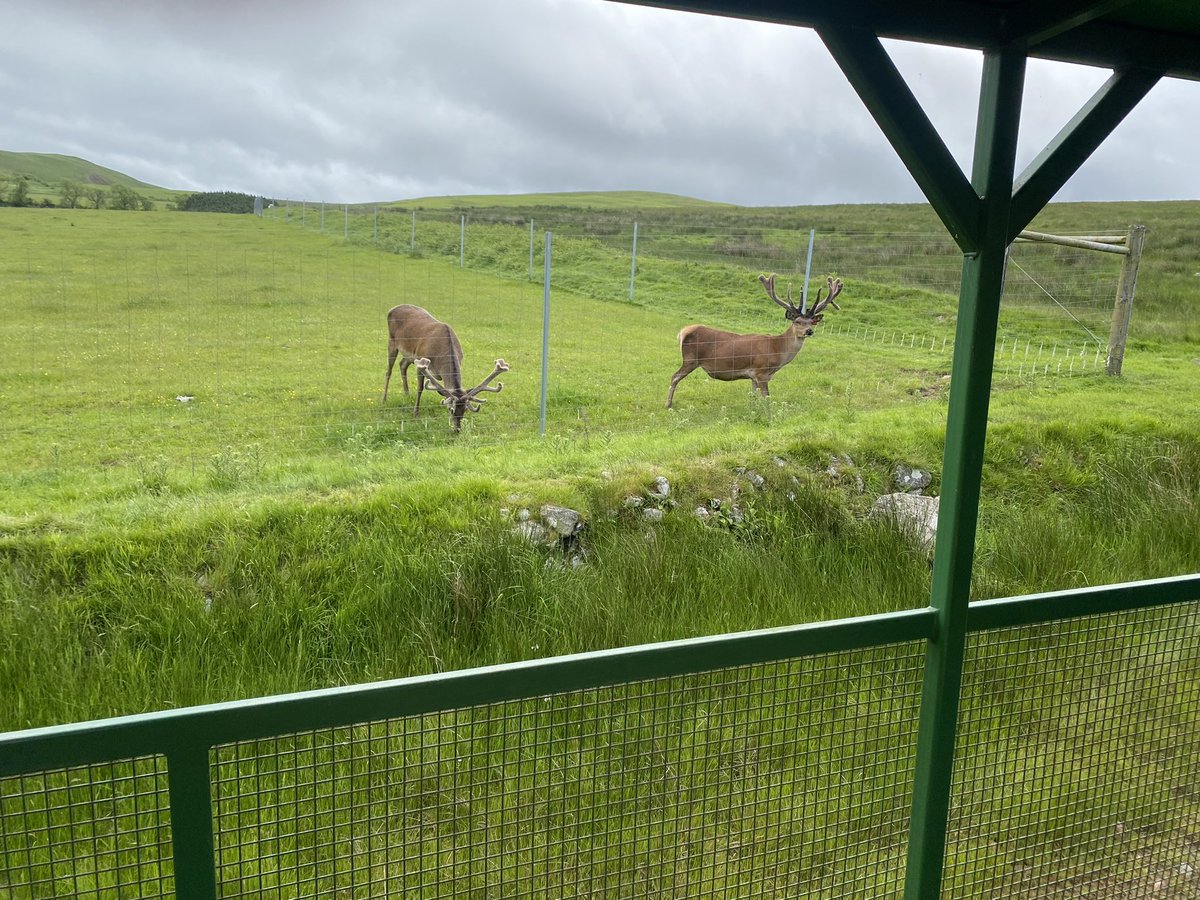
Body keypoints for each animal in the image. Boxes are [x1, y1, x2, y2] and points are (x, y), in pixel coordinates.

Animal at [382, 304, 509, 432]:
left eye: (465, 409)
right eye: (450, 409)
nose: (457, 429)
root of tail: (393, 308)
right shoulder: (420, 361)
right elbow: (420, 388)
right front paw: (416, 413)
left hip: (409, 356)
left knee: (402, 364)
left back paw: (407, 395)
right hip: (392, 341)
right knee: (389, 371)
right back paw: (384, 400)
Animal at [666, 274, 842, 409]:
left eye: (812, 322)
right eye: (797, 321)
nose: (809, 331)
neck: (777, 350)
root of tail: (683, 332)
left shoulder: (753, 376)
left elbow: (754, 396)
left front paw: (753, 411)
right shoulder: (761, 371)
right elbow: (767, 397)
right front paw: (768, 414)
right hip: (690, 359)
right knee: (674, 376)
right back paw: (668, 404)